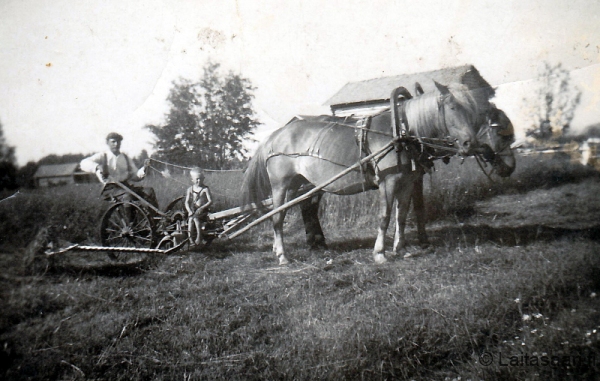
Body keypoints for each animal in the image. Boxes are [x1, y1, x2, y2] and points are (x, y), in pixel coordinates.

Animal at [241, 81, 480, 264]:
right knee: (277, 217)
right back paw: (283, 256)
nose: (471, 144)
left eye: (471, 108)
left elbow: (401, 215)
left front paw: (400, 248)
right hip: (281, 185)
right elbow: (385, 216)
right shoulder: (388, 182)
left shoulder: (407, 183)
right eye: (452, 108)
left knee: (300, 210)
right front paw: (380, 253)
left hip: (301, 185)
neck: (401, 132)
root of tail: (275, 135)